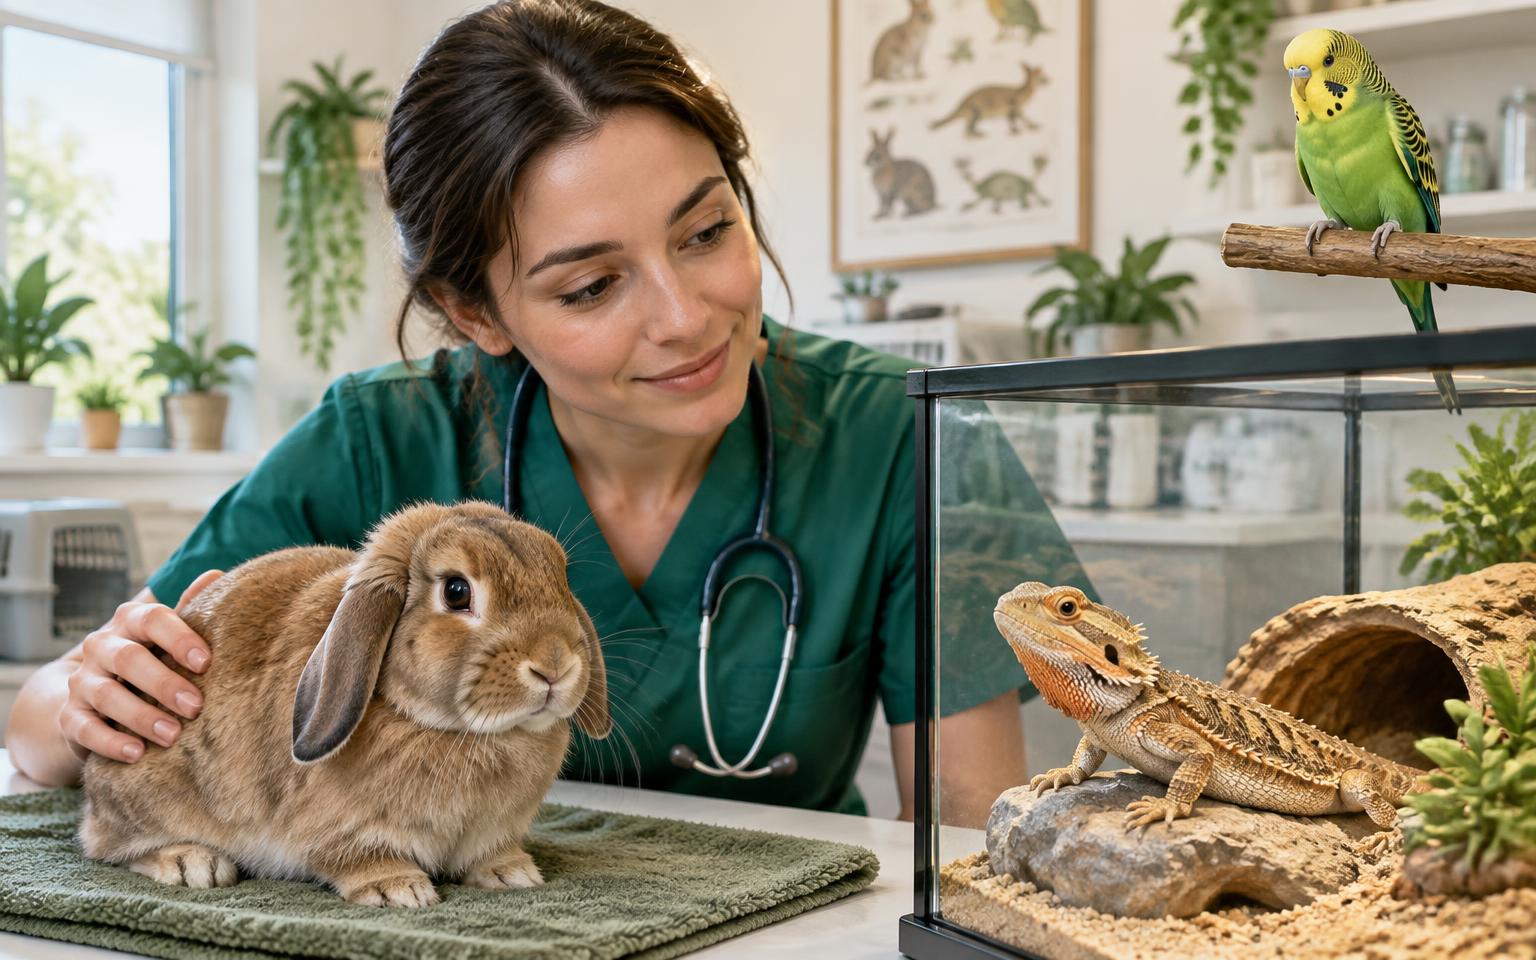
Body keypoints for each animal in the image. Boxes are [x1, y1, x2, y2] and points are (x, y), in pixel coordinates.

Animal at [77, 500, 610, 908]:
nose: (555, 665)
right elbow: (358, 858)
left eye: (561, 578)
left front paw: (513, 874)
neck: (454, 730)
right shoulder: (342, 832)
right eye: (457, 591)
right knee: (107, 846)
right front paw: (399, 890)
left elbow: (490, 854)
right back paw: (193, 863)